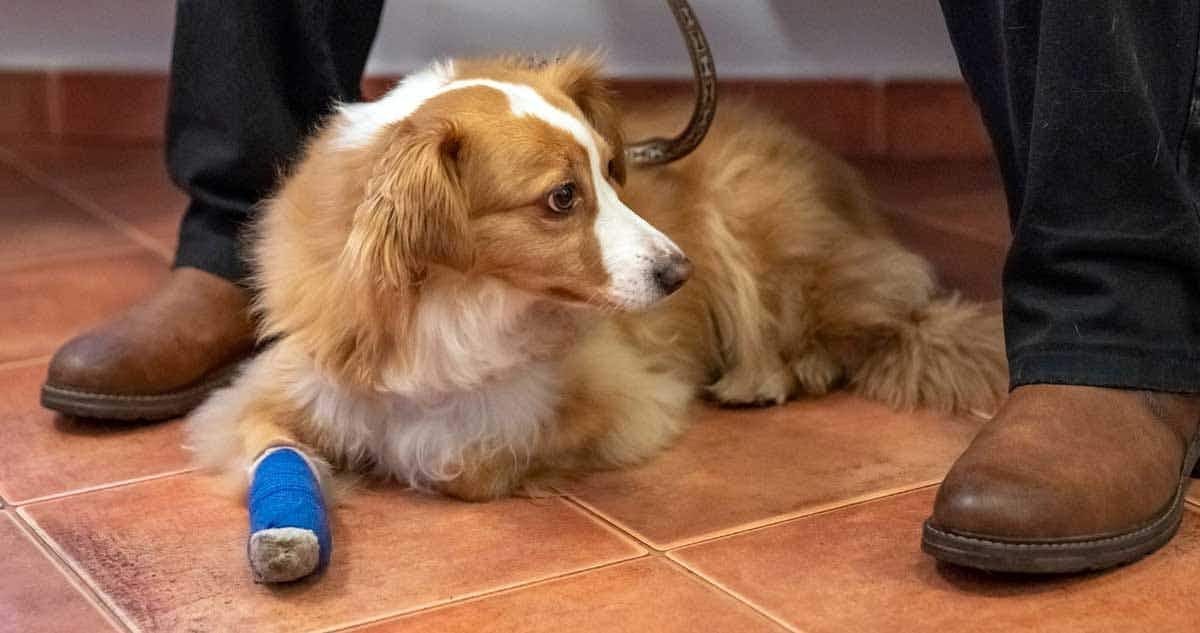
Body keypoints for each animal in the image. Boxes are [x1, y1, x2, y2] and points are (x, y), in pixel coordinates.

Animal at [187, 51, 1008, 503]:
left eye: (614, 173)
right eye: (561, 198)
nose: (679, 273)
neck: (456, 299)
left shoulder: (626, 397)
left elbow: (466, 461)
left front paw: (418, 456)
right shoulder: (268, 390)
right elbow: (276, 449)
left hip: (746, 218)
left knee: (853, 323)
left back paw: (768, 374)